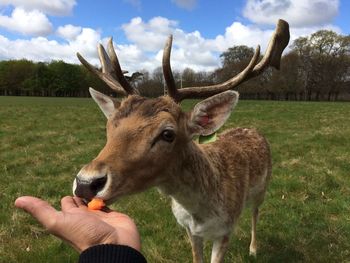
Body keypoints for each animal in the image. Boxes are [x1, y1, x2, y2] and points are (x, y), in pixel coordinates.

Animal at [72, 19, 290, 262]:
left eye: (168, 133)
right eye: (110, 126)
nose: (86, 183)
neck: (199, 212)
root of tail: (252, 129)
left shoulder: (225, 230)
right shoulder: (189, 230)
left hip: (263, 187)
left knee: (255, 212)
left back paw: (253, 248)